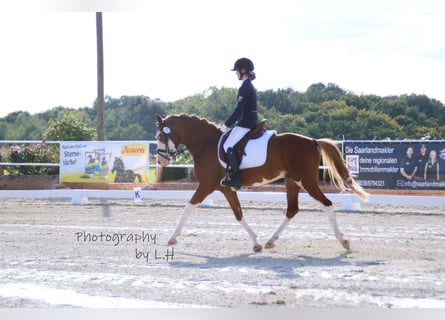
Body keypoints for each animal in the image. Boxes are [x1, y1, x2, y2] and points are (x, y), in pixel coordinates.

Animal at [156, 114, 368, 251]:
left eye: (160, 136)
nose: (161, 161)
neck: (205, 144)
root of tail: (312, 141)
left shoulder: (206, 185)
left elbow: (187, 208)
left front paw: (172, 238)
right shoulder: (225, 188)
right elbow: (238, 213)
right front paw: (255, 242)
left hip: (306, 182)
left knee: (327, 204)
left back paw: (344, 241)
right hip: (292, 181)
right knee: (292, 210)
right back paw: (270, 241)